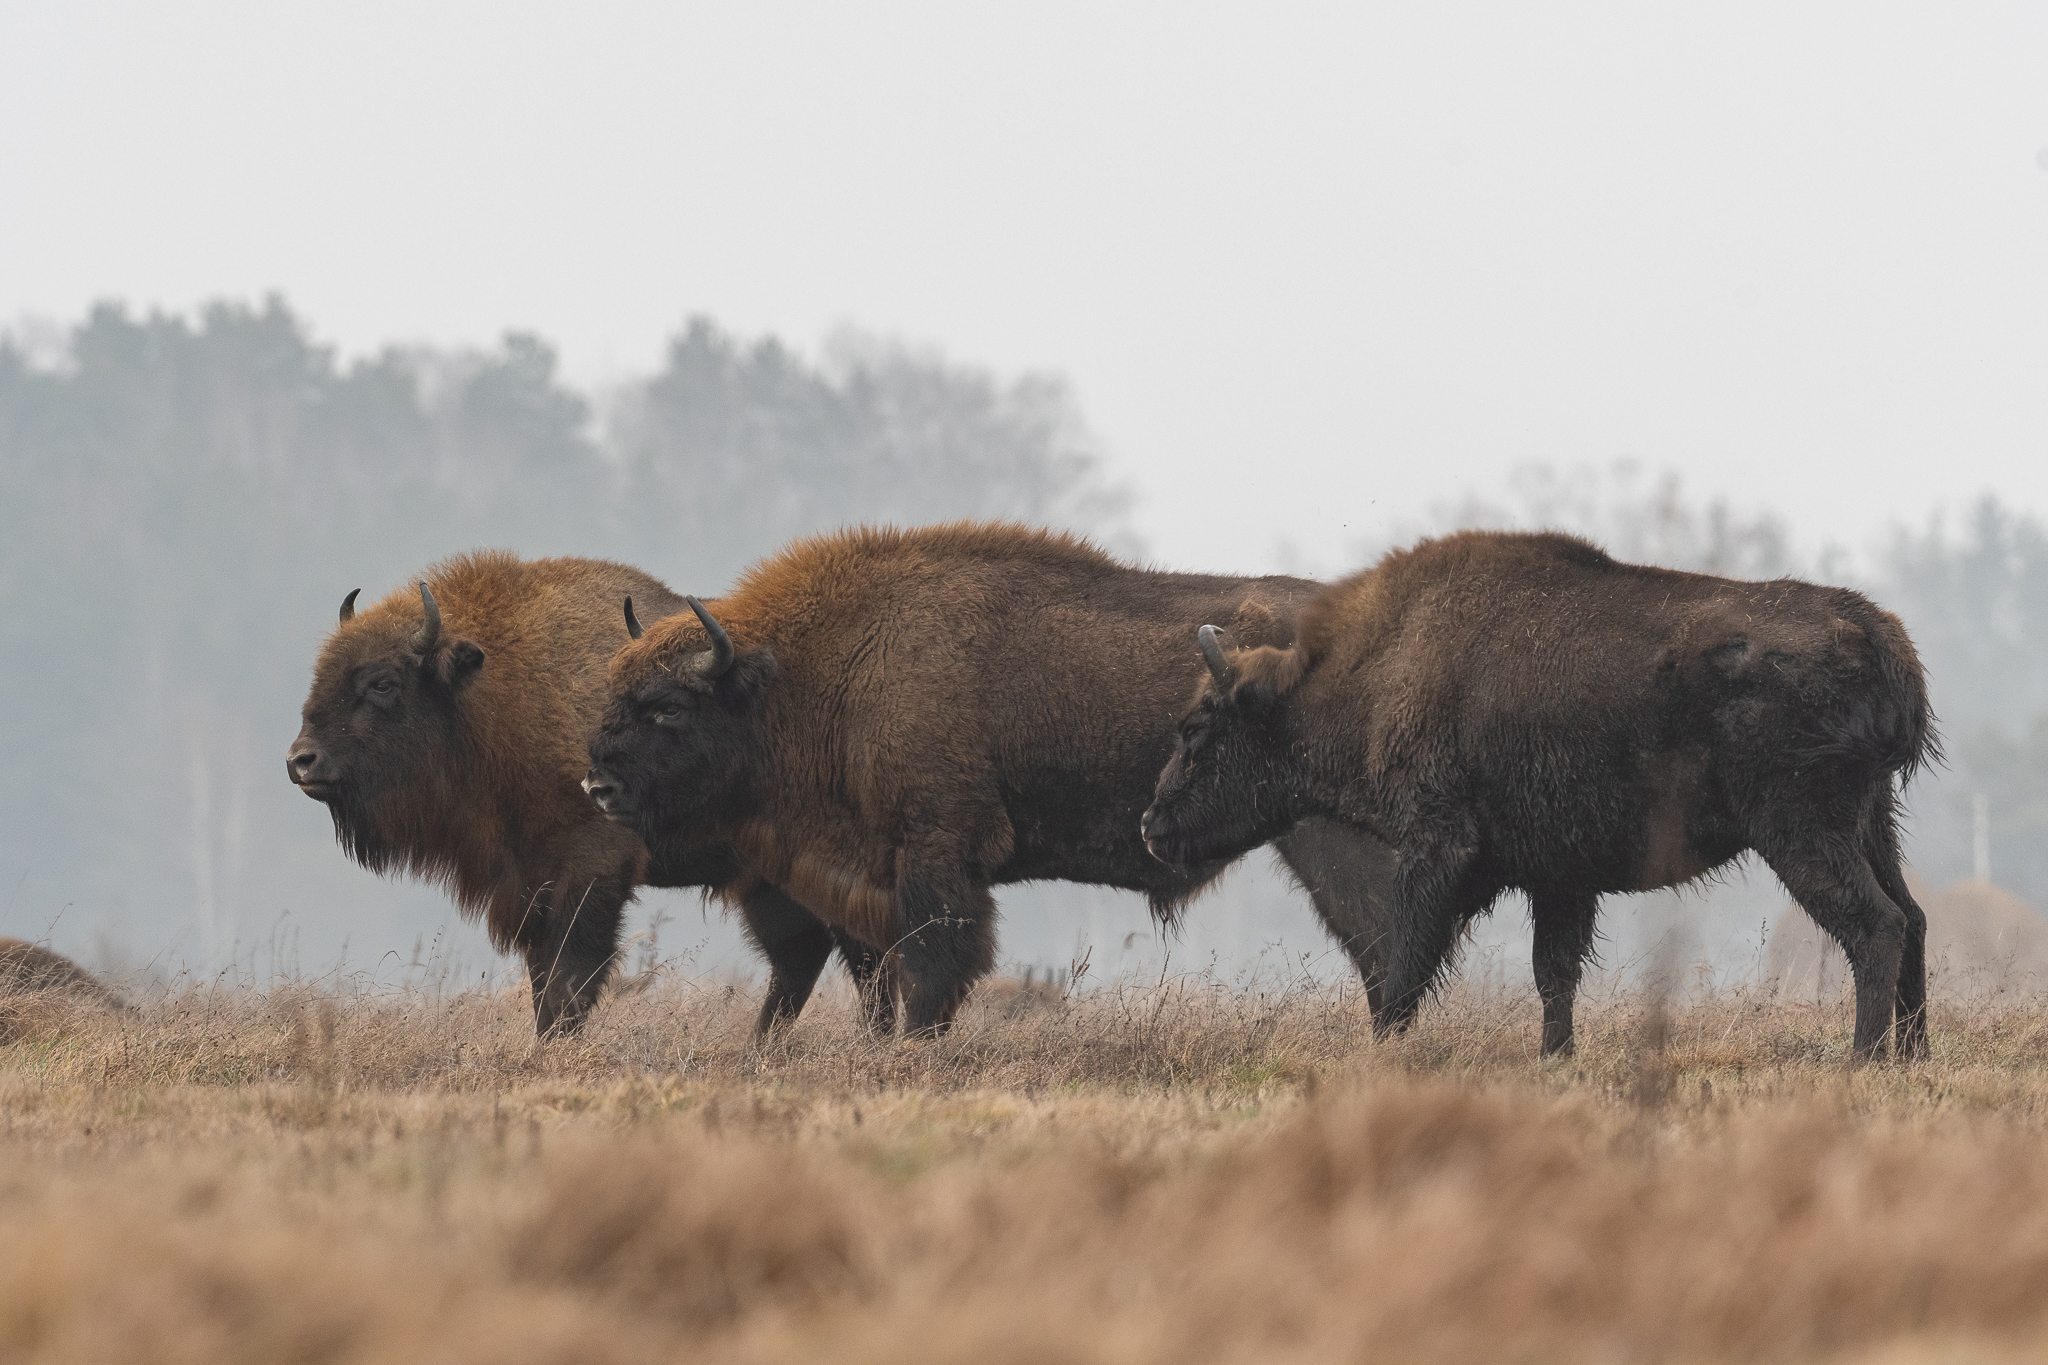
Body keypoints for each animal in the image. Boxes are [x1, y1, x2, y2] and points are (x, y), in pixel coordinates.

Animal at [287, 551, 887, 1036]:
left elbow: (568, 979)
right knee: (806, 958)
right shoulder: (529, 883)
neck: (495, 692)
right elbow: (542, 979)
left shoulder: (589, 869)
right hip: (768, 880)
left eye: (383, 682)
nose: (300, 761)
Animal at [584, 522, 1399, 1037]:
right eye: (614, 690)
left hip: (1333, 839)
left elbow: (932, 969)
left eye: (668, 707)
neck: (823, 671)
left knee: (1385, 947)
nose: (598, 787)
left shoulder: (936, 856)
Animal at [1141, 530, 1936, 1062]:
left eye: (1199, 725)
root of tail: (1879, 635)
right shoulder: (1560, 877)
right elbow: (1554, 973)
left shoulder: (1441, 849)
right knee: (1916, 919)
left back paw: (1861, 1060)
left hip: (1801, 829)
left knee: (1876, 924)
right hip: (1871, 821)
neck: (1384, 671)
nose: (1152, 823)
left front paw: (1383, 1050)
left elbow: (1408, 959)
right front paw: (1556, 1057)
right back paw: (1912, 1056)